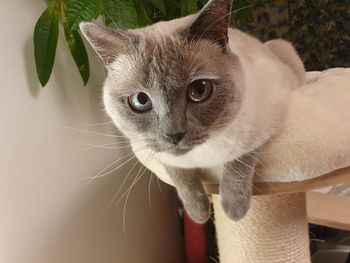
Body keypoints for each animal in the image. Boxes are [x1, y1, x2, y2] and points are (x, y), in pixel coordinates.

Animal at [79, 0, 304, 224]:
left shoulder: (268, 122)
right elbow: (181, 176)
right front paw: (198, 212)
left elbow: (239, 162)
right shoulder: (162, 156)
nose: (174, 135)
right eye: (141, 101)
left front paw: (234, 209)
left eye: (199, 90)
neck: (201, 157)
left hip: (283, 49)